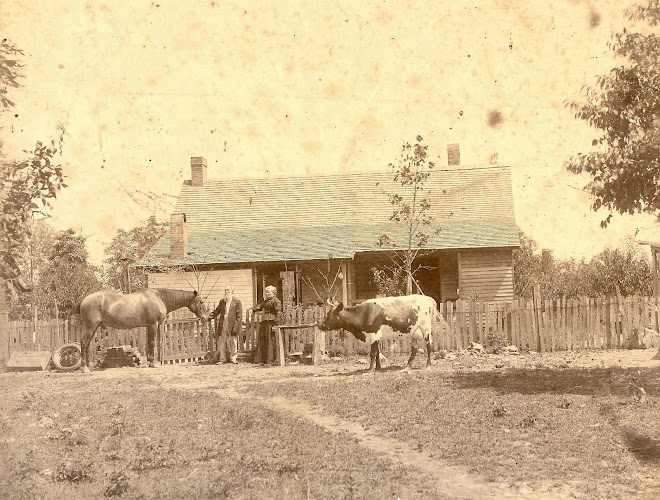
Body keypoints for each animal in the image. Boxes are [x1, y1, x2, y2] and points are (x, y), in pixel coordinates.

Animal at [78, 290, 210, 372]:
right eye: (201, 301)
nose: (206, 317)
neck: (159, 298)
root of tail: (83, 300)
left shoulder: (152, 326)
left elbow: (152, 344)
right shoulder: (152, 325)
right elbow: (151, 343)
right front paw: (152, 363)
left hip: (94, 327)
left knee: (87, 345)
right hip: (90, 327)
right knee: (84, 344)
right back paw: (84, 368)